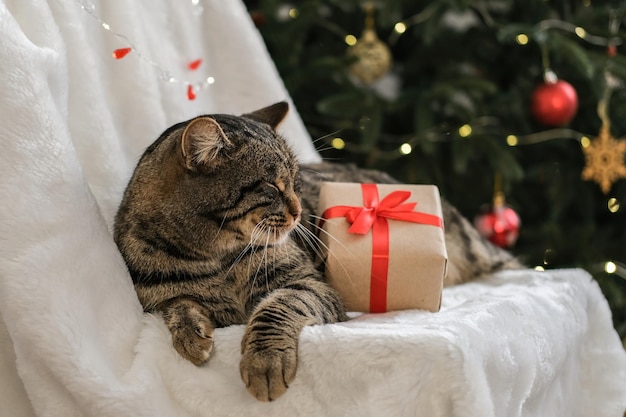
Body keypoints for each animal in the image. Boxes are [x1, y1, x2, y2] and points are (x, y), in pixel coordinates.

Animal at [113, 100, 520, 400]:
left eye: (295, 181)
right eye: (271, 187)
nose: (296, 212)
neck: (214, 258)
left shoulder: (309, 284)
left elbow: (276, 309)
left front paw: (265, 361)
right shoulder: (154, 298)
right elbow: (178, 302)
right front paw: (191, 333)